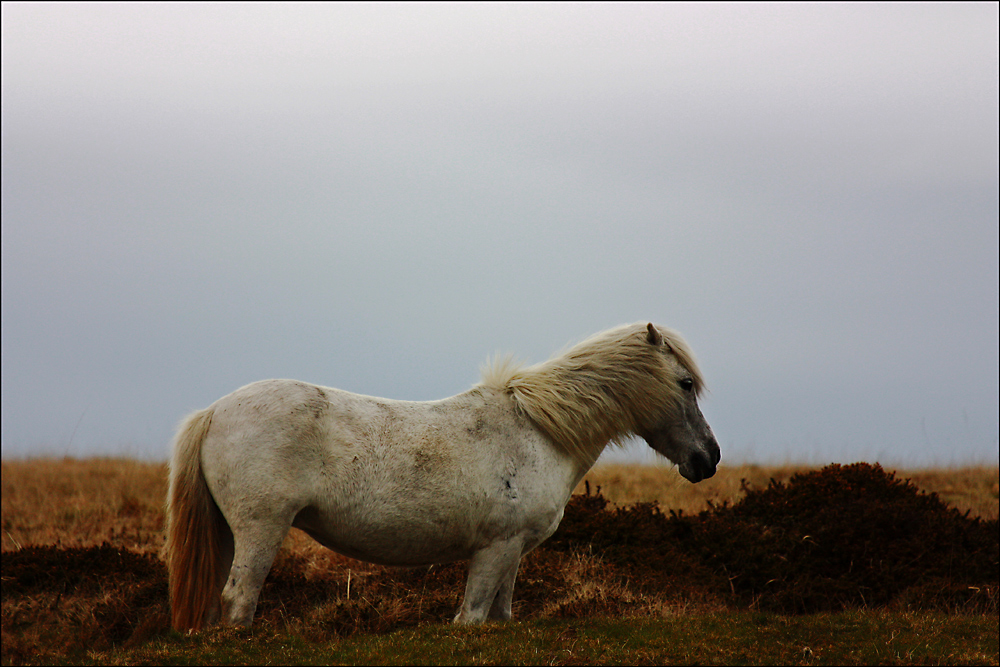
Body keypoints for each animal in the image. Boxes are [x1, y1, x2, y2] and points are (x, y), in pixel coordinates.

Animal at [168, 324, 724, 632]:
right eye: (685, 383)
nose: (709, 458)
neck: (539, 431)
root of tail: (214, 412)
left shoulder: (512, 552)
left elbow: (499, 617)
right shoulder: (494, 550)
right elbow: (470, 618)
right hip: (261, 528)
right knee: (239, 599)